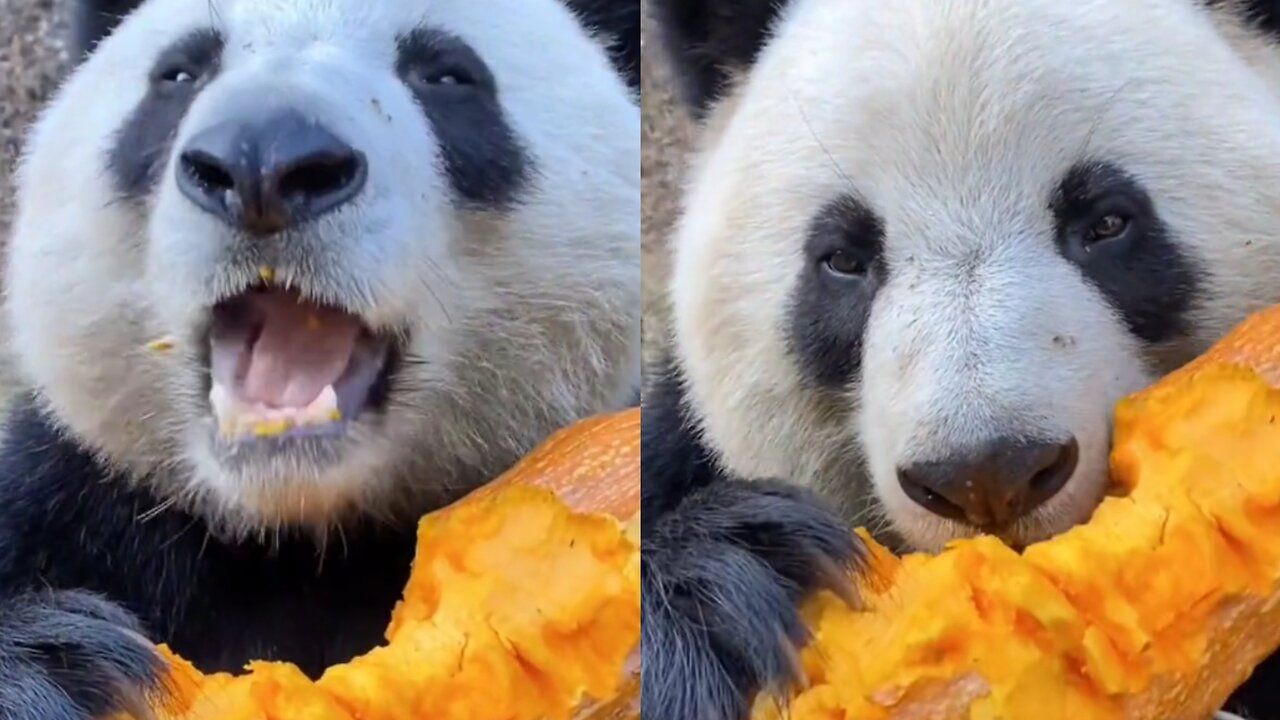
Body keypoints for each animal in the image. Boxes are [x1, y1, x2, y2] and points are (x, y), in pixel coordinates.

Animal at [0, 0, 640, 712]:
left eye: (447, 75)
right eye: (180, 73)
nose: (261, 162)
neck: (297, 535)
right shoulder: (83, 505)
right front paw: (55, 669)